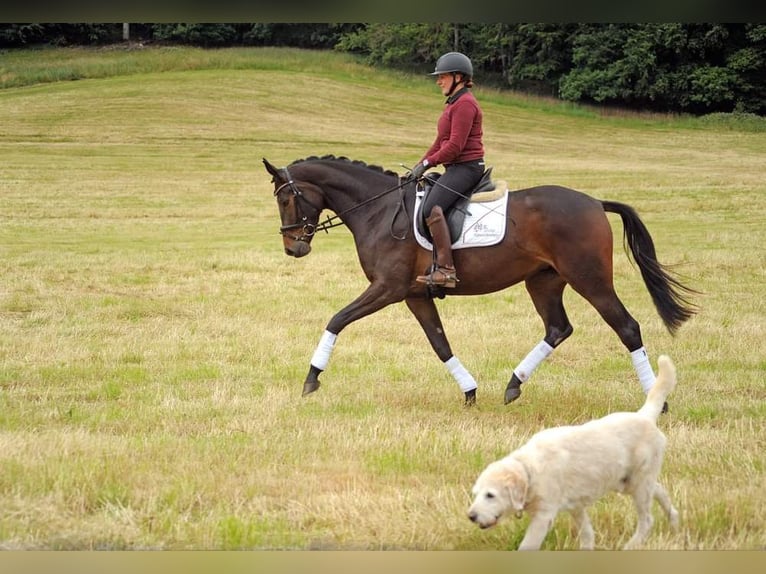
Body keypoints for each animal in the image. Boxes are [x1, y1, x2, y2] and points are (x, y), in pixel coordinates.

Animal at [260, 155, 700, 408]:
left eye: (285, 198)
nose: (293, 248)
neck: (379, 209)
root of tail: (594, 202)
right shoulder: (414, 294)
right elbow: (440, 344)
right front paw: (469, 391)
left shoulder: (387, 289)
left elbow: (336, 319)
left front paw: (311, 379)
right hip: (544, 282)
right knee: (558, 328)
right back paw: (513, 385)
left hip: (588, 278)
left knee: (627, 327)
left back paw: (656, 402)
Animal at [468, 356, 680, 552]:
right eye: (476, 494)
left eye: (490, 495)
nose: (471, 516)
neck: (529, 468)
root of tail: (644, 416)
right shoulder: (576, 507)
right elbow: (587, 534)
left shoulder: (543, 516)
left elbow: (527, 545)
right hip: (629, 482)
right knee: (660, 492)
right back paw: (674, 523)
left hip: (639, 485)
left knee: (647, 520)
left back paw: (631, 546)